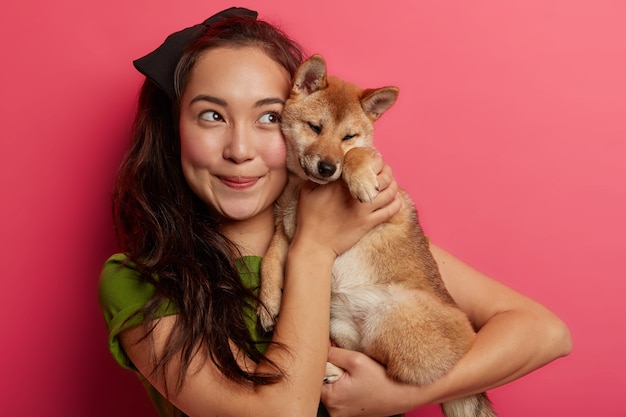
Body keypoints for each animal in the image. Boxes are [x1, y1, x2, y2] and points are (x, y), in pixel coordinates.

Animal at [256, 55, 494, 416]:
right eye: (315, 127)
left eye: (349, 136)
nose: (328, 168)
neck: (302, 189)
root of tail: (466, 351)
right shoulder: (288, 233)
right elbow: (269, 259)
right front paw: (268, 301)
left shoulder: (389, 203)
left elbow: (361, 156)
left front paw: (360, 180)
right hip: (342, 325)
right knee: (369, 363)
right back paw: (331, 369)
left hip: (391, 315)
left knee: (389, 375)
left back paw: (332, 370)